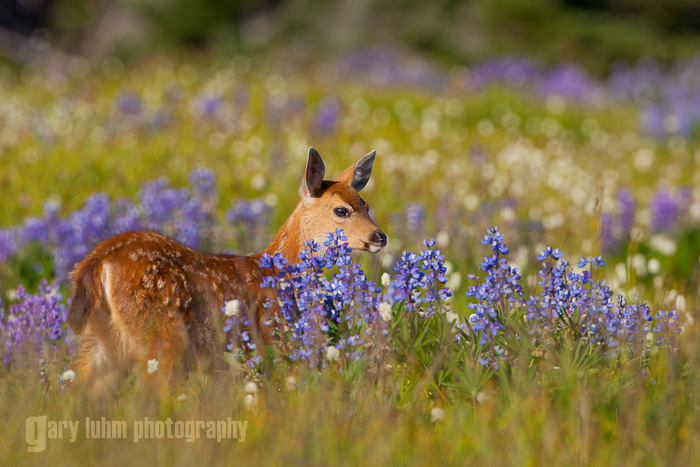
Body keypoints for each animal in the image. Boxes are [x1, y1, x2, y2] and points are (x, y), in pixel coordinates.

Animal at [67, 147, 387, 396]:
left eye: (366, 205)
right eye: (341, 210)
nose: (380, 237)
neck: (281, 271)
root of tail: (98, 260)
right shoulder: (273, 336)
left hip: (98, 342)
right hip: (160, 334)